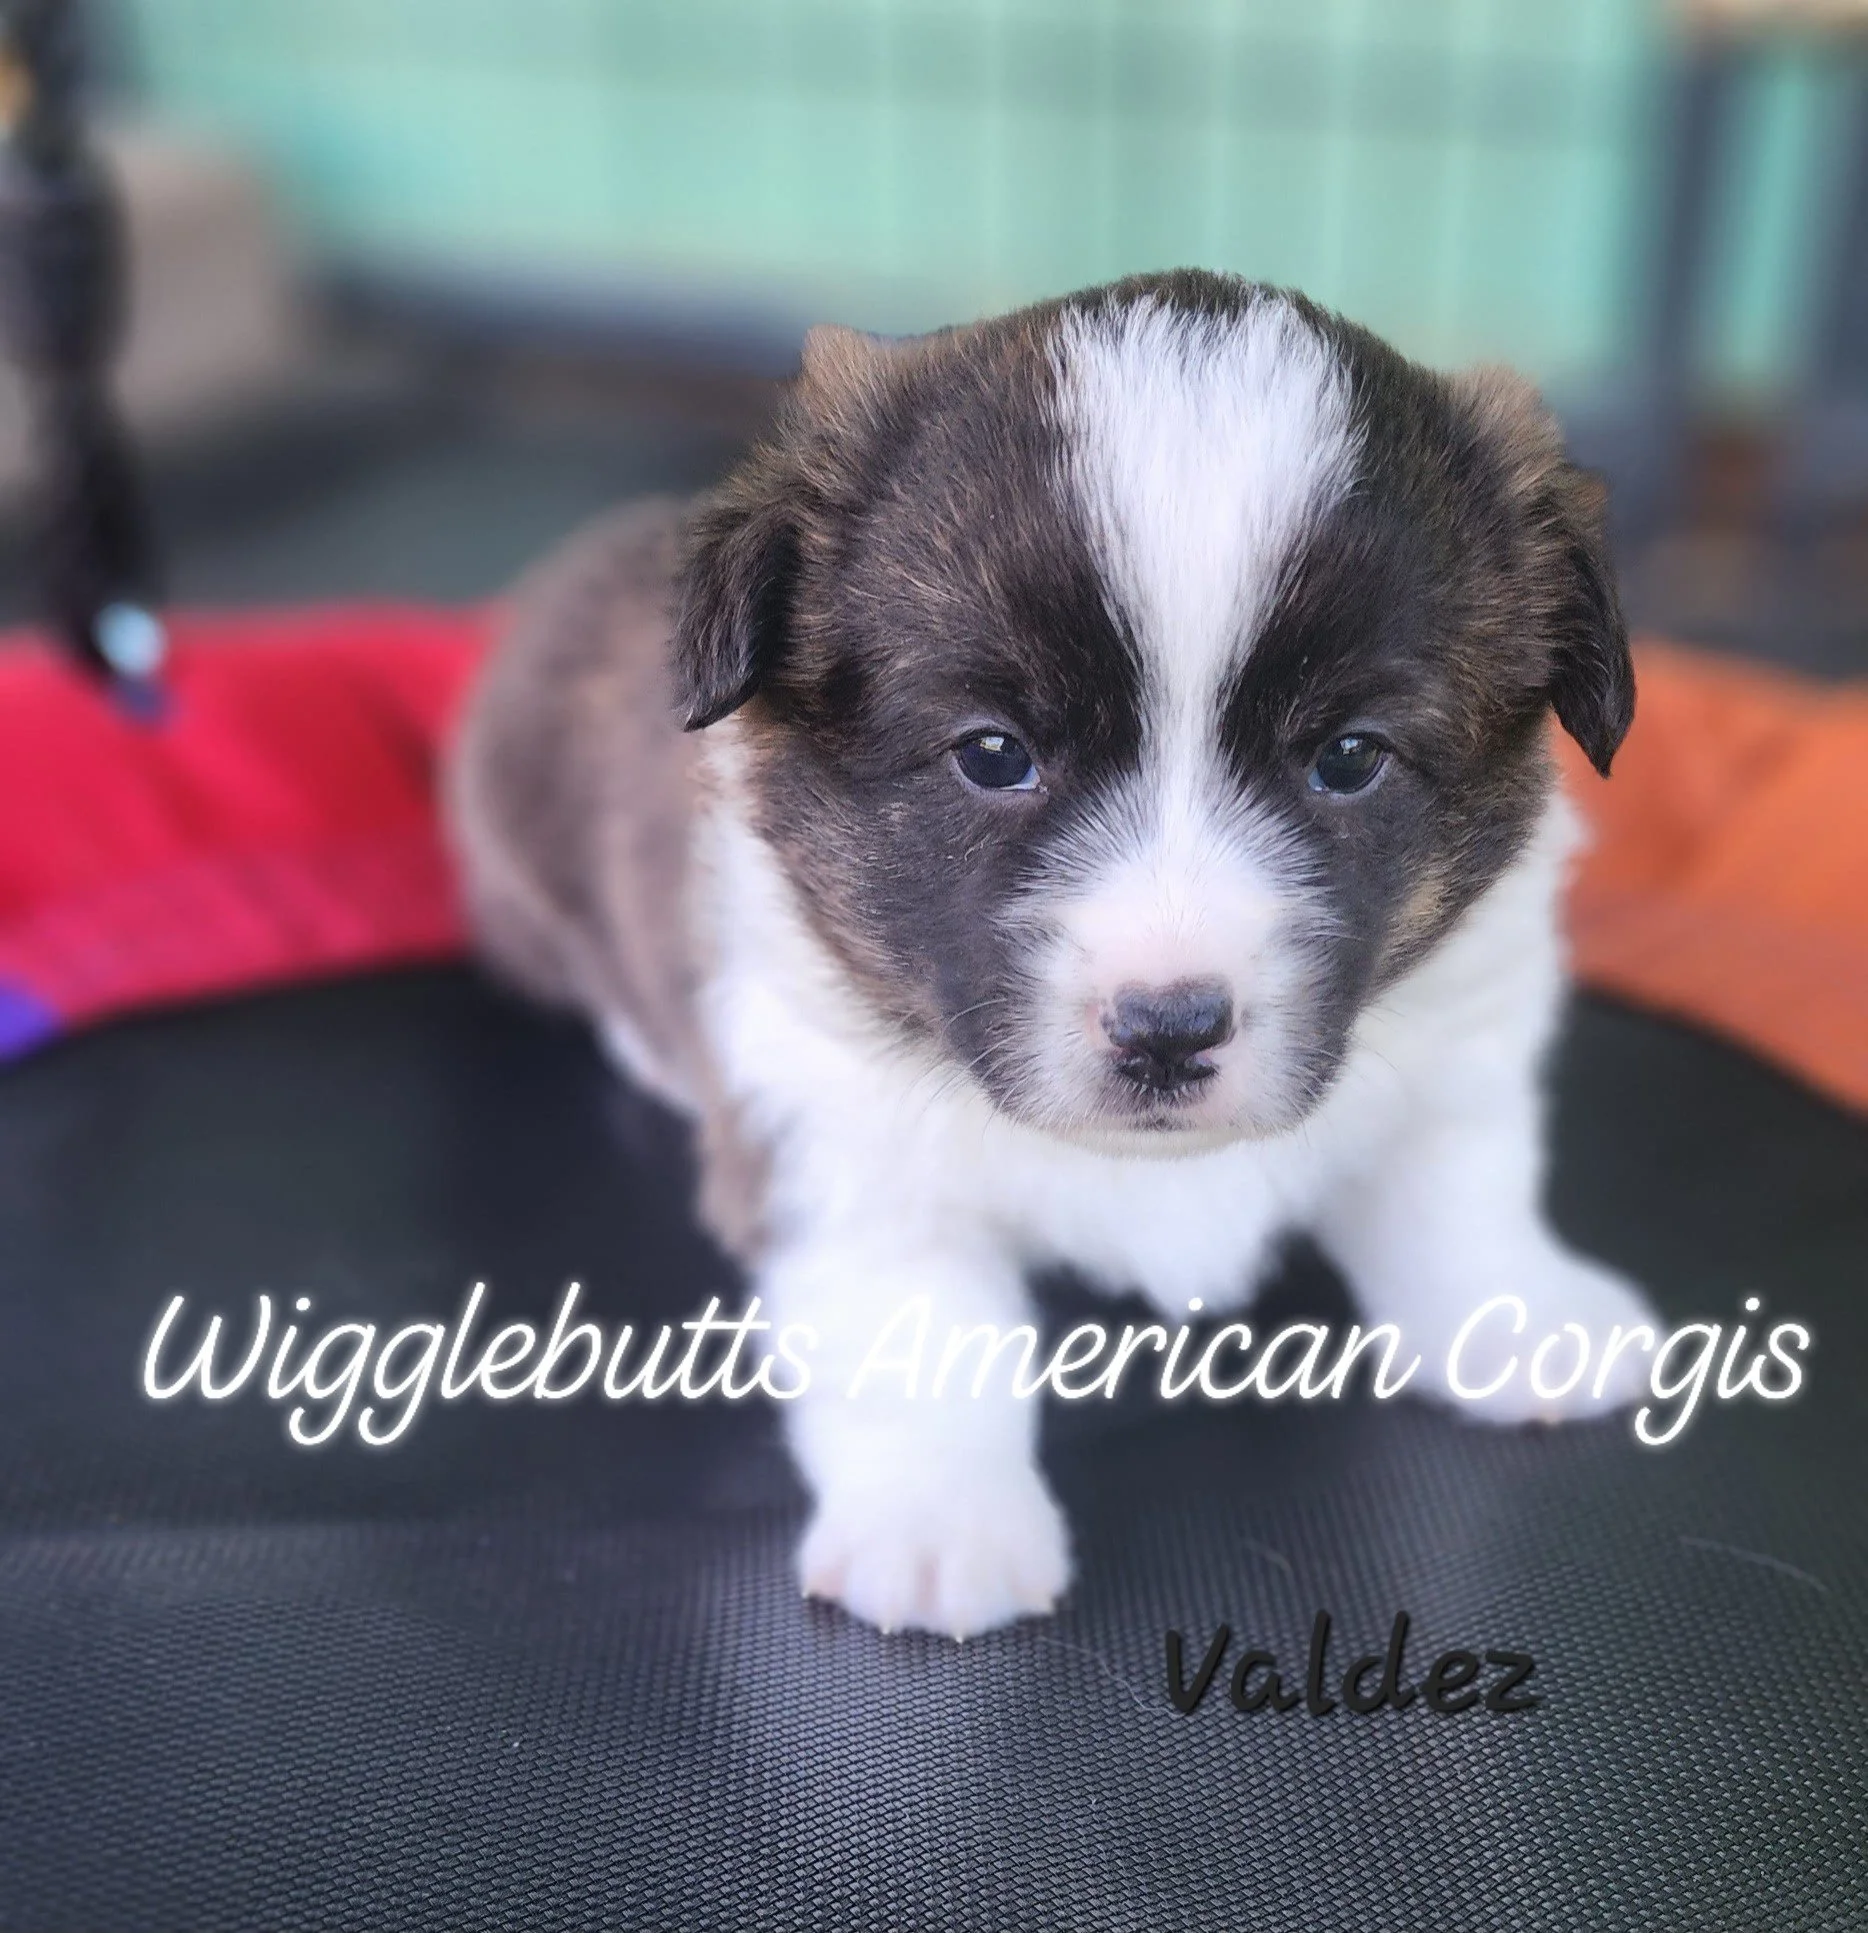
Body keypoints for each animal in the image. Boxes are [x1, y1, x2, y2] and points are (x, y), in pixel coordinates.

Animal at [449, 269, 1658, 1639]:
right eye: (991, 752)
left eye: (1349, 757)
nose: (1167, 1029)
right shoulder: (838, 1141)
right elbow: (919, 1331)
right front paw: (937, 1527)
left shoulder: (1461, 1041)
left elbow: (1460, 1191)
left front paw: (1524, 1320)